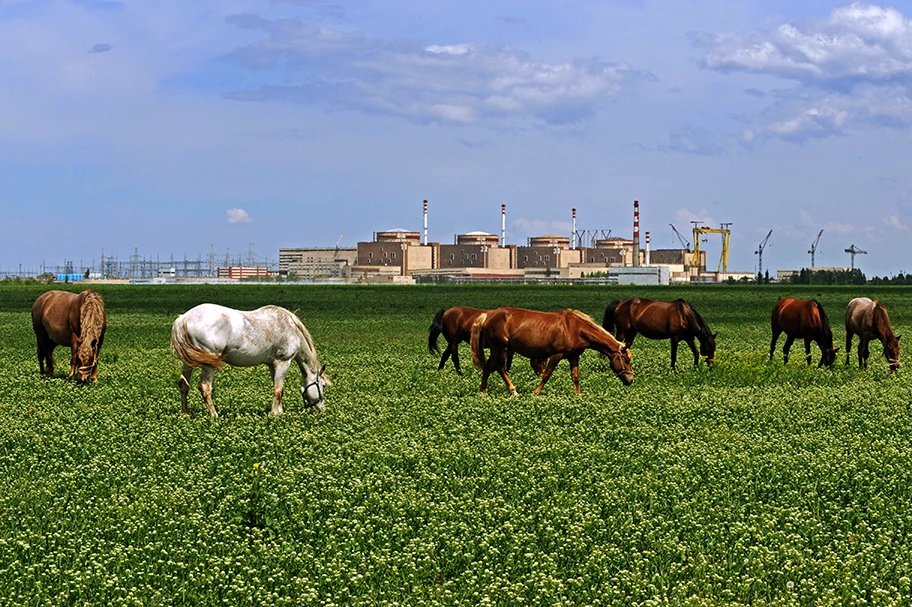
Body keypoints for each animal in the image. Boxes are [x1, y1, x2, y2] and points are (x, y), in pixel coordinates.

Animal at [169, 304, 330, 418]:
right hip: (209, 364)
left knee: (183, 385)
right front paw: (275, 414)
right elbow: (278, 390)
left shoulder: (272, 365)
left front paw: (279, 411)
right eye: (322, 385)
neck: (290, 327)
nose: (322, 409)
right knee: (205, 387)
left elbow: (277, 388)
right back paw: (214, 416)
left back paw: (185, 415)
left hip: (187, 363)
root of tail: (183, 318)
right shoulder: (283, 362)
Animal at [470, 308, 636, 400]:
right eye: (626, 360)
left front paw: (578, 396)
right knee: (500, 368)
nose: (630, 380)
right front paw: (536, 393)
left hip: (496, 349)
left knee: (488, 368)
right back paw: (513, 391)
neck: (575, 328)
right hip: (501, 348)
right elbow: (546, 375)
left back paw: (482, 393)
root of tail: (488, 315)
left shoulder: (574, 356)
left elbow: (575, 377)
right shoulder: (556, 355)